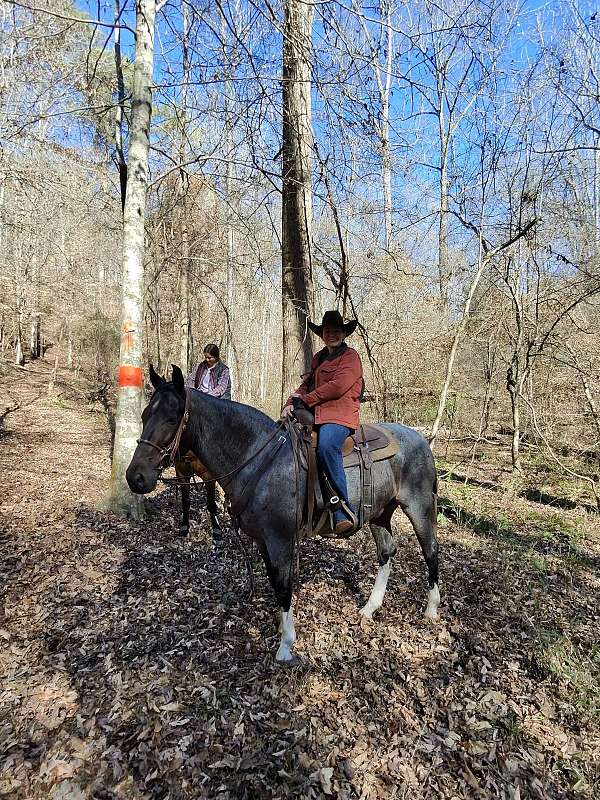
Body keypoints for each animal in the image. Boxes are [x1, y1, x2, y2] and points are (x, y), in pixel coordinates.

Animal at [126, 365, 440, 663]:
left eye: (171, 418)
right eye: (144, 414)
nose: (135, 478)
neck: (259, 459)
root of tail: (419, 438)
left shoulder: (280, 540)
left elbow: (283, 585)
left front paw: (286, 644)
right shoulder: (263, 540)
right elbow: (273, 580)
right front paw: (279, 627)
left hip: (419, 506)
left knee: (430, 550)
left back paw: (431, 609)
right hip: (379, 514)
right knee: (387, 552)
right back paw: (370, 607)